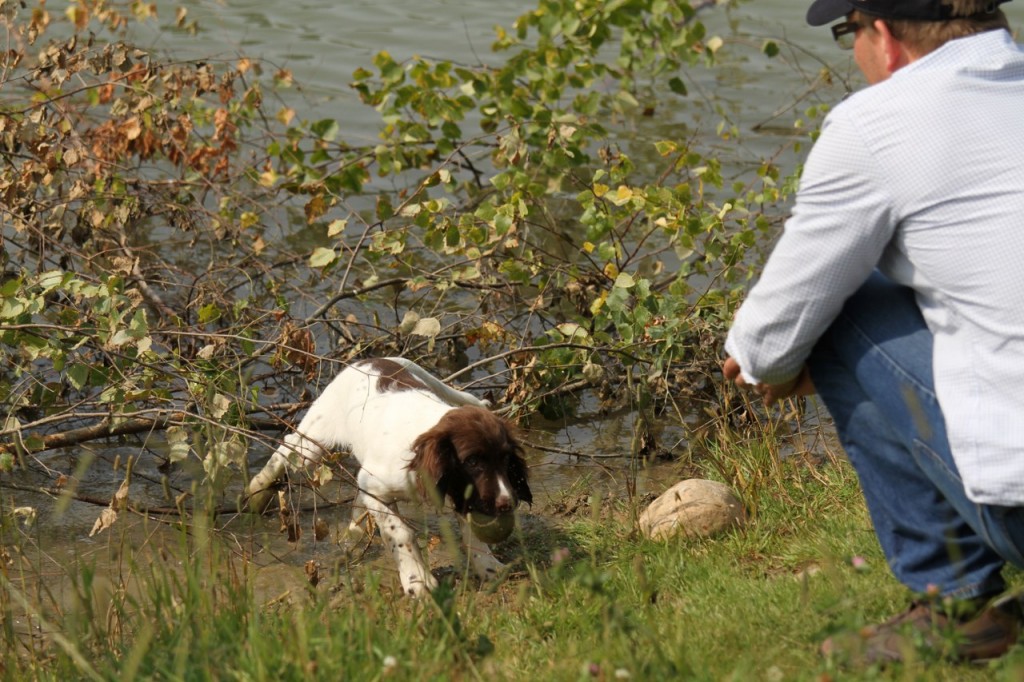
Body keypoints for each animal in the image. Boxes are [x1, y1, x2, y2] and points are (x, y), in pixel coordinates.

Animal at [248, 356, 532, 593]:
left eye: (506, 459)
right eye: (472, 461)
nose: (507, 504)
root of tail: (371, 359)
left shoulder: (459, 491)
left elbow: (470, 531)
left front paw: (488, 566)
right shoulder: (375, 486)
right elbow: (401, 533)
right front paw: (417, 580)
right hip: (315, 440)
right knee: (287, 449)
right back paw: (256, 492)